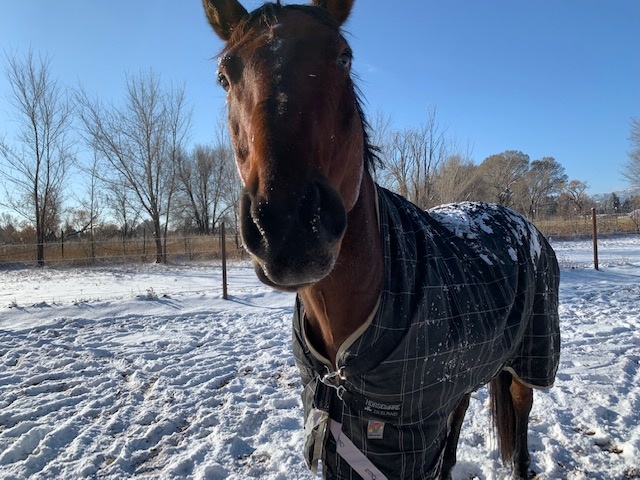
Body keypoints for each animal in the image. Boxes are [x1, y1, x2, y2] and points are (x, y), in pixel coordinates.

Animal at [202, 1, 556, 478]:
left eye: (343, 57)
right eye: (225, 75)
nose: (288, 226)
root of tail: (522, 223)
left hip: (527, 366)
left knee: (519, 432)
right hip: (465, 374)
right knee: (459, 420)